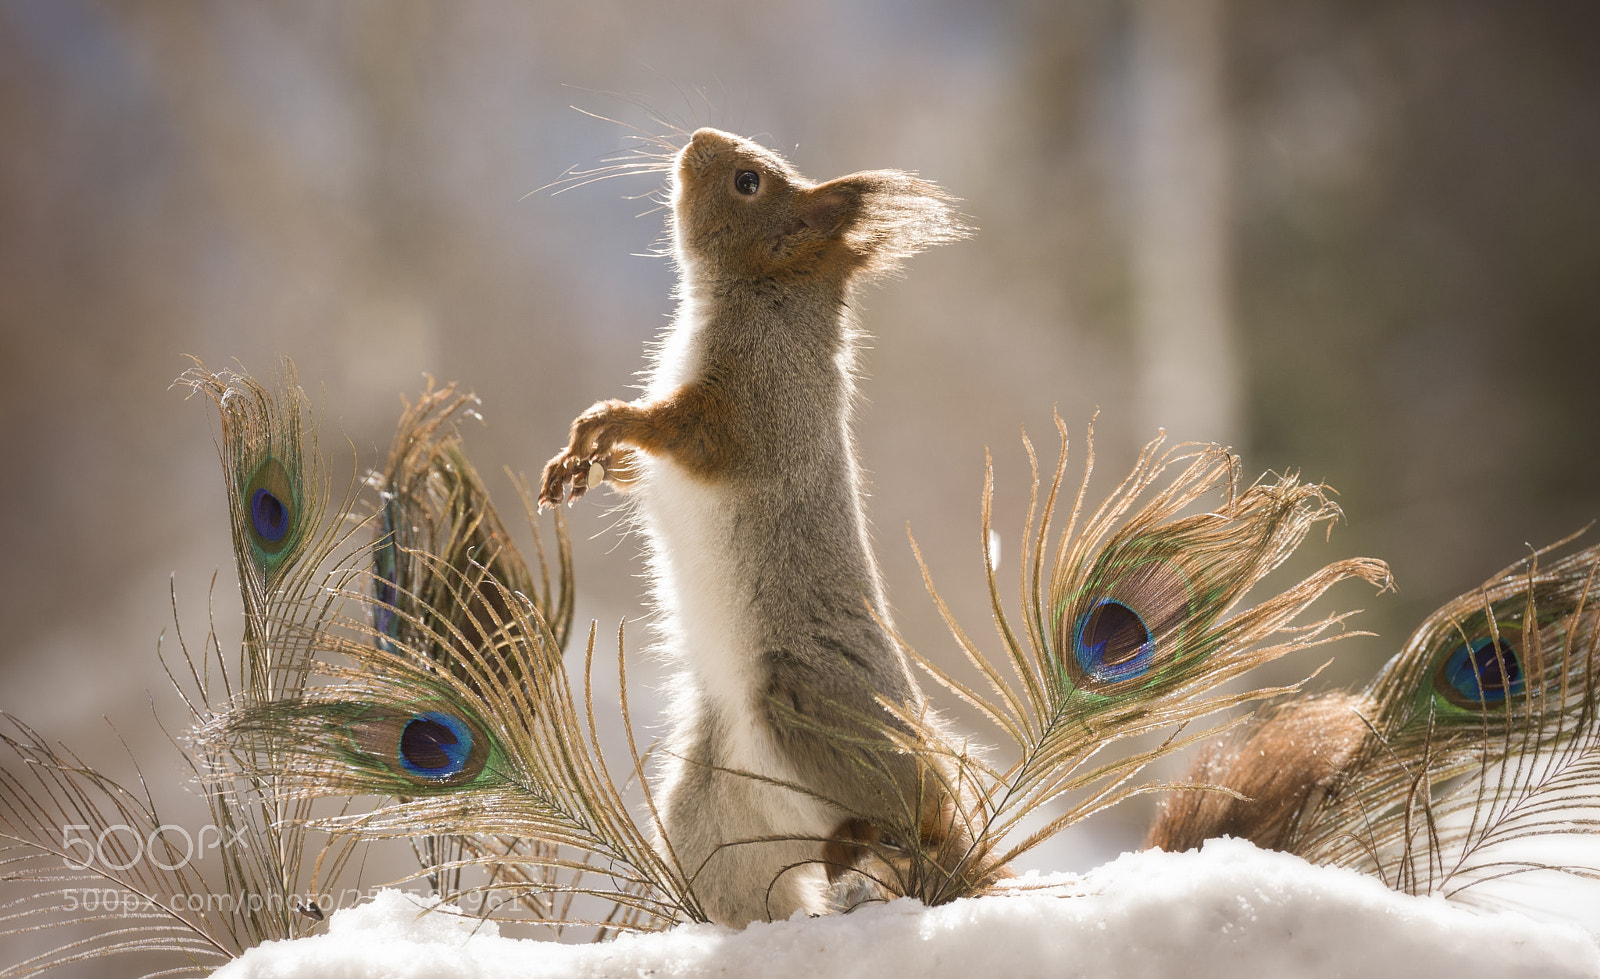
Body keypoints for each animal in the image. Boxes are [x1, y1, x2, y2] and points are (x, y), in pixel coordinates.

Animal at [539, 128, 973, 925]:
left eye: (748, 182)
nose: (697, 139)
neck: (763, 296)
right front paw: (587, 463)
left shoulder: (758, 401)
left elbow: (693, 436)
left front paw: (609, 422)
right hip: (708, 822)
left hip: (804, 707)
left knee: (913, 815)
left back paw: (884, 833)